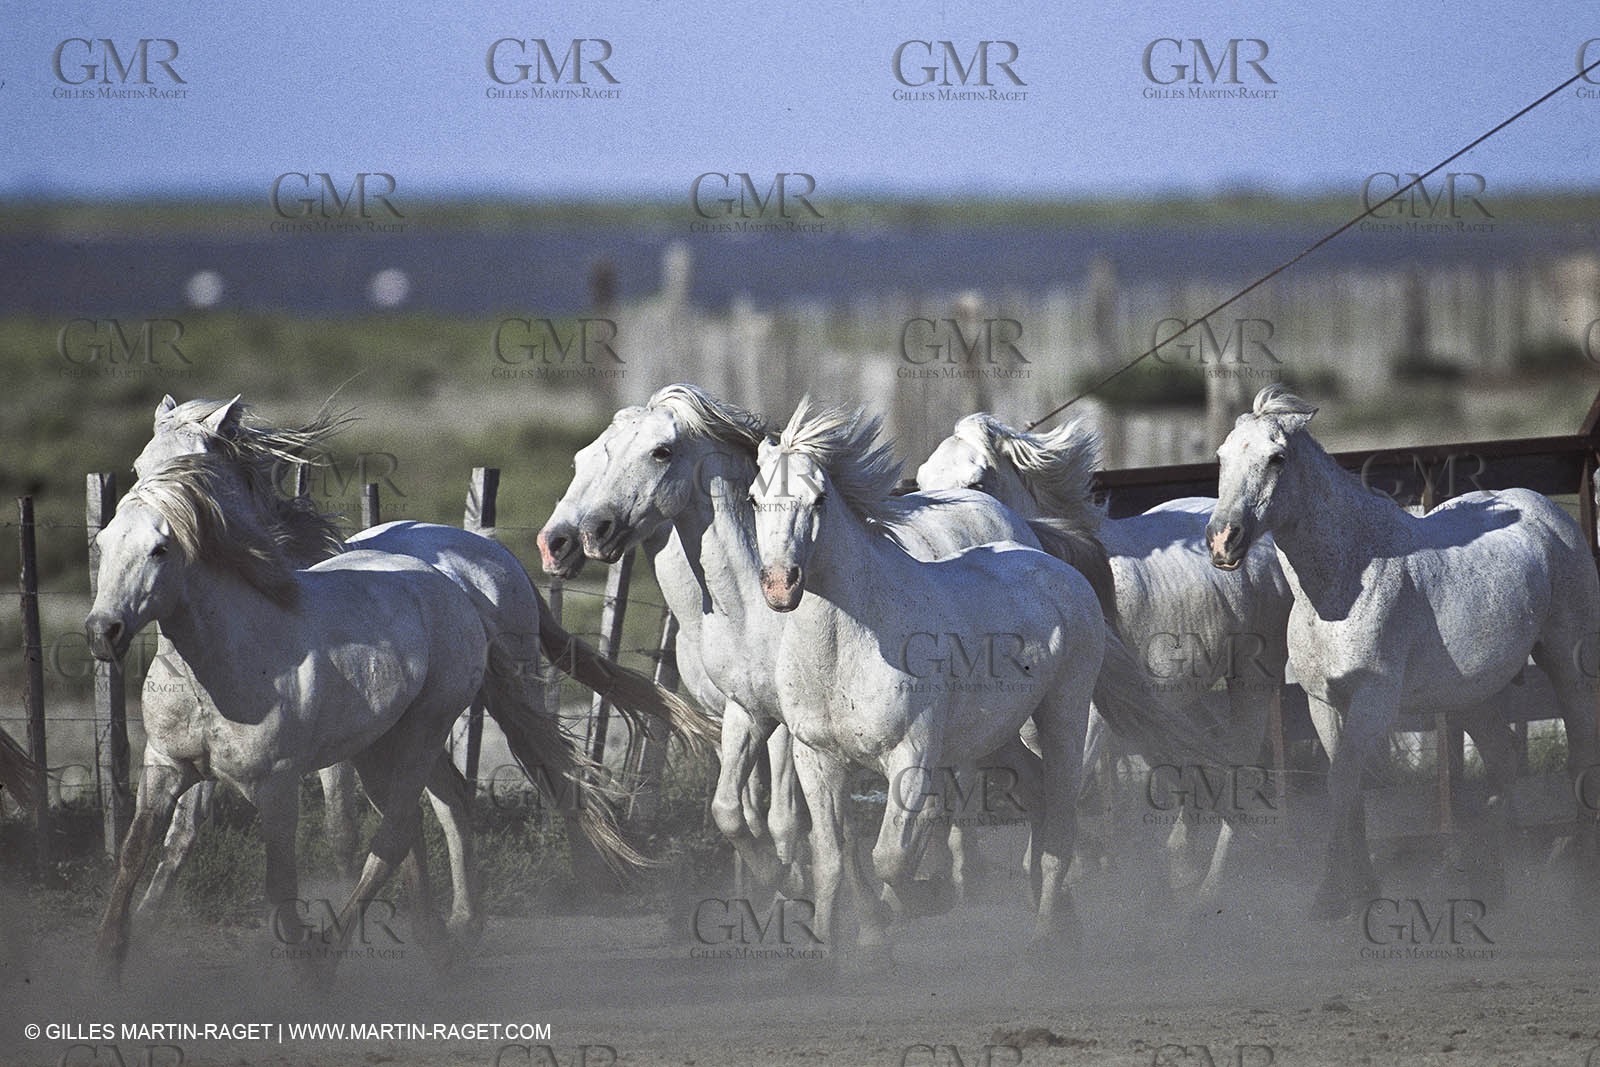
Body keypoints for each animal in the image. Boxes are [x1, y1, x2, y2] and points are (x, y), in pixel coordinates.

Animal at [129, 395, 717, 919]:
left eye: (194, 467)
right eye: (138, 466)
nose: (146, 529)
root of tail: (494, 551)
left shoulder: (330, 752)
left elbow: (345, 831)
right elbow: (181, 833)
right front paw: (145, 917)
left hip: (506, 701)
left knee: (549, 775)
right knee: (445, 801)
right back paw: (451, 917)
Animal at [537, 384, 1120, 906]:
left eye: (661, 451)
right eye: (586, 456)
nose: (568, 540)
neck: (744, 605)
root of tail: (1013, 519)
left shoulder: (788, 730)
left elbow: (788, 821)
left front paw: (805, 892)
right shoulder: (744, 712)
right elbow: (735, 812)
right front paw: (775, 887)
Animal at [748, 399, 1221, 961]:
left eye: (818, 498)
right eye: (753, 498)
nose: (781, 585)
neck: (848, 647)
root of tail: (1052, 560)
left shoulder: (912, 756)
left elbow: (891, 856)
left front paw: (921, 901)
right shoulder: (817, 760)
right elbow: (835, 858)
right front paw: (855, 949)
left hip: (1062, 716)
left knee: (1061, 819)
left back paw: (1047, 936)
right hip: (994, 736)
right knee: (1038, 794)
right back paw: (1060, 917)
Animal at [916, 412, 1292, 897]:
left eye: (978, 480)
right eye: (922, 482)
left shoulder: (1091, 716)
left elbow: (1066, 794)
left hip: (1251, 676)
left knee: (1240, 759)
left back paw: (1211, 885)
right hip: (1181, 696)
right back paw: (1181, 864)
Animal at [1206, 385, 1600, 916]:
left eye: (1277, 458)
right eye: (1222, 457)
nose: (1223, 542)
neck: (1344, 583)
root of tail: (1549, 513)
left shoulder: (1374, 700)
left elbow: (1343, 783)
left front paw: (1331, 899)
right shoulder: (1323, 702)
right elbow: (1347, 787)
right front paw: (1358, 891)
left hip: (1570, 664)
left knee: (1580, 756)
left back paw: (1575, 875)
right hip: (1472, 697)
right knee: (1502, 763)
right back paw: (1493, 885)